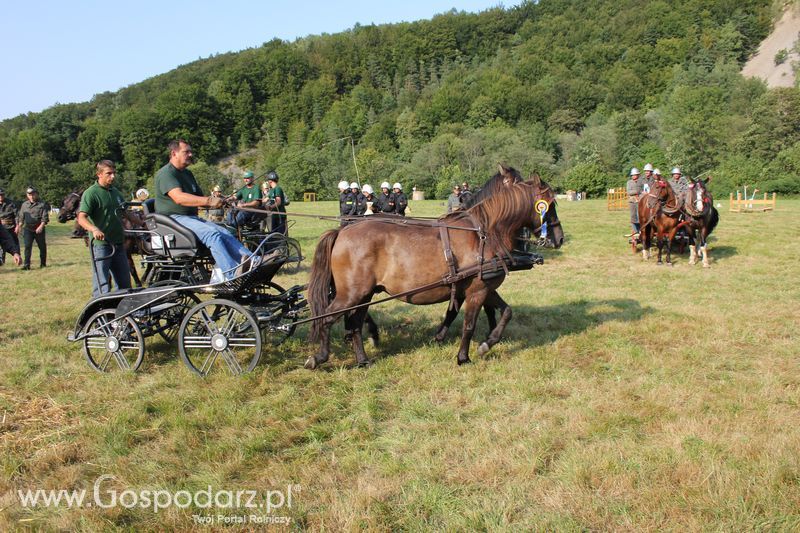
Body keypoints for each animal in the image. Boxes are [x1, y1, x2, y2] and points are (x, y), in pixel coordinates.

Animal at [304, 164, 564, 368]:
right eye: (550, 204)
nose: (559, 238)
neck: (484, 232)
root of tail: (342, 231)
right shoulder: (478, 290)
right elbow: (469, 324)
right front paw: (463, 357)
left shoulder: (482, 287)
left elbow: (505, 311)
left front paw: (488, 342)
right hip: (351, 294)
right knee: (327, 318)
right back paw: (320, 357)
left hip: (364, 294)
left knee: (355, 324)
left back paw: (362, 359)